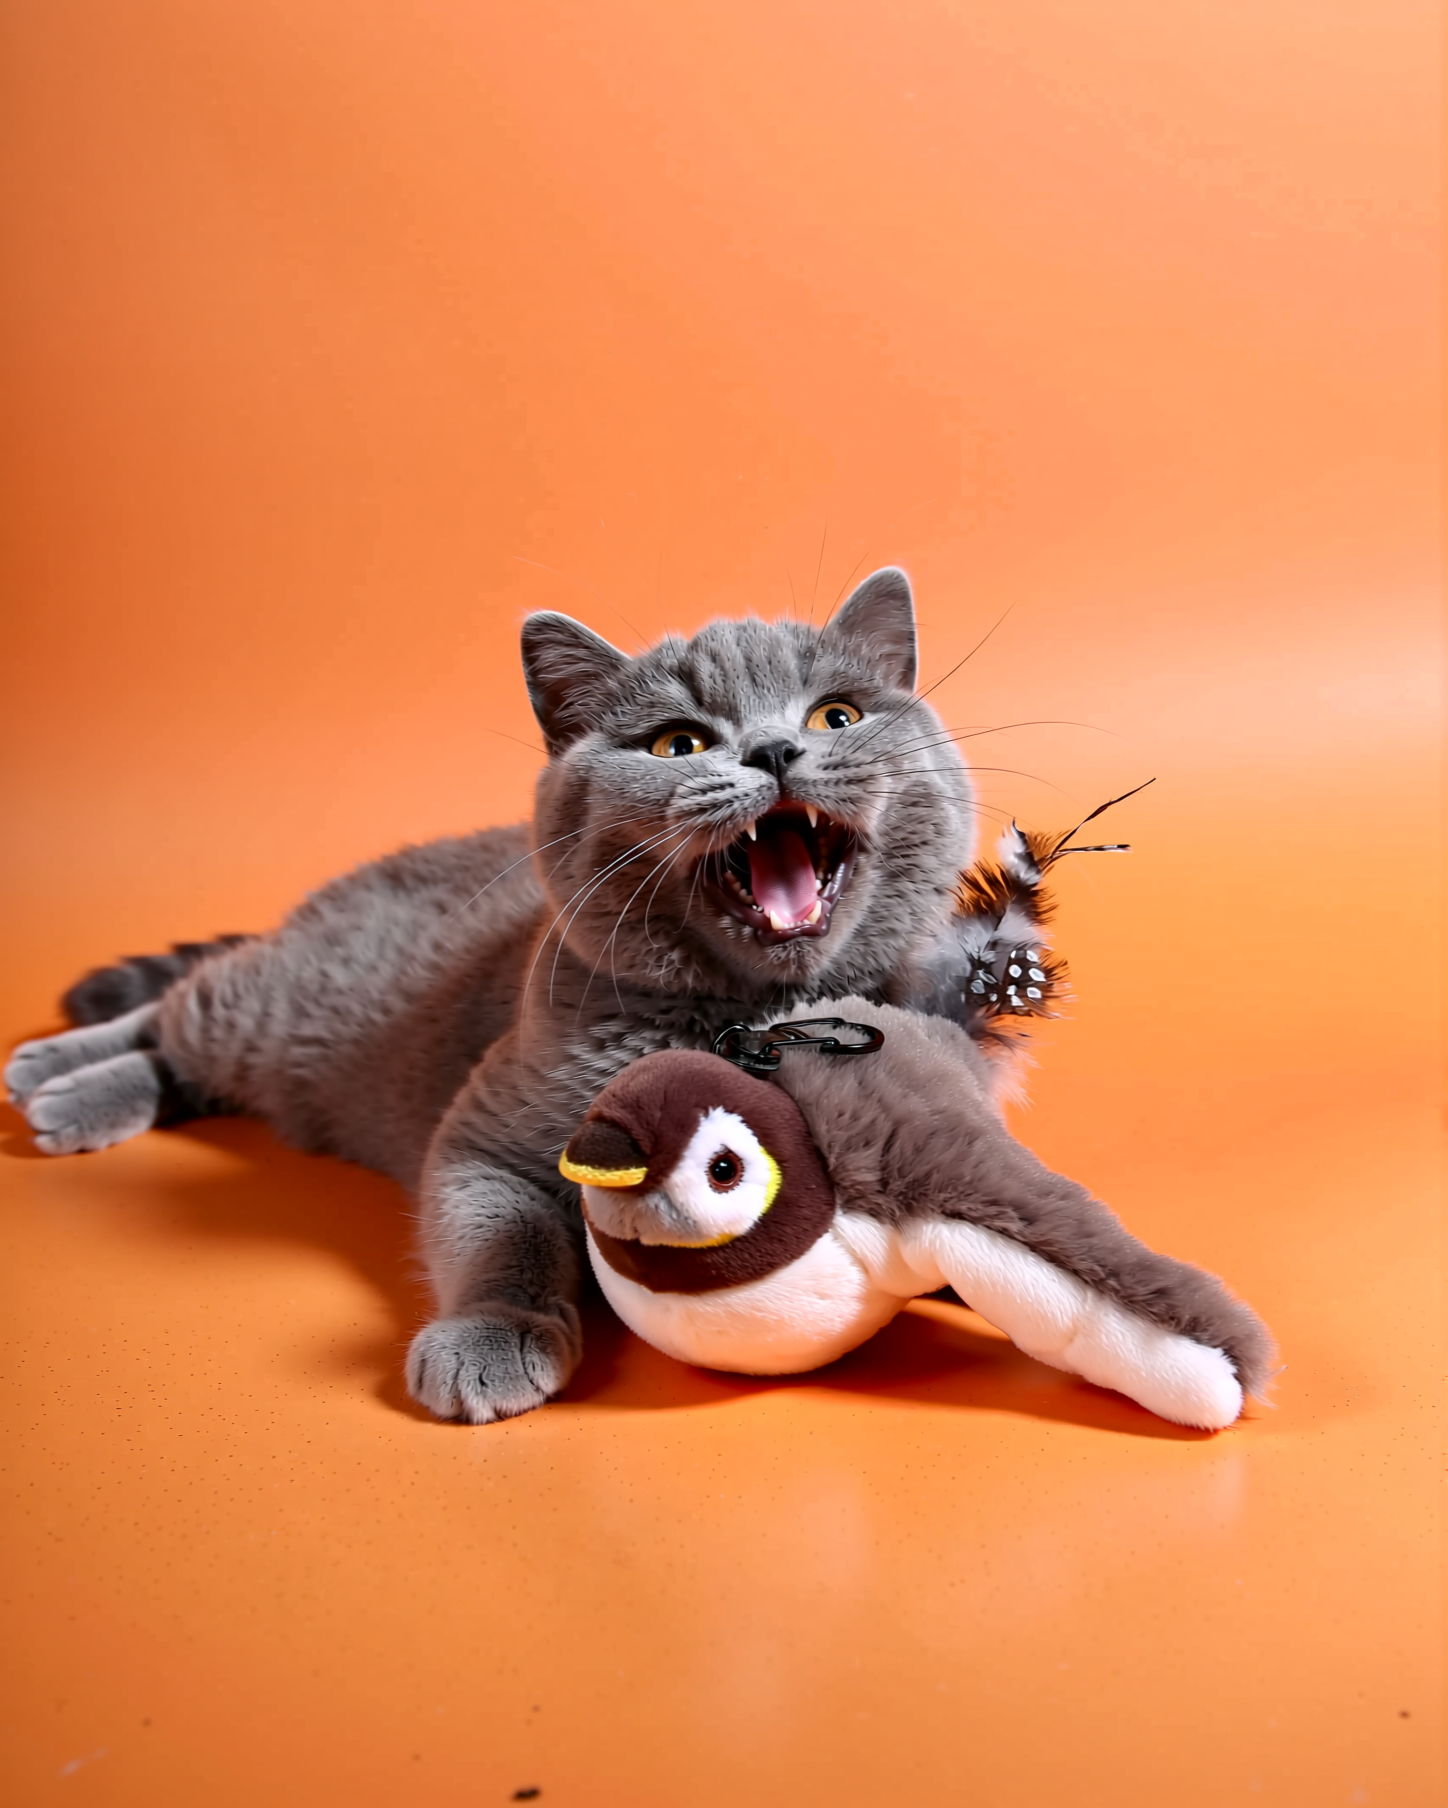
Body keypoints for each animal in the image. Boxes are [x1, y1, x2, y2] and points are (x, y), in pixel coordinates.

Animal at [8, 568, 990, 1424]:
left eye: (837, 714)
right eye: (678, 743)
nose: (775, 749)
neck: (746, 1012)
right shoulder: (488, 1133)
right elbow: (504, 1233)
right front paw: (492, 1338)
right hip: (280, 1005)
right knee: (176, 1011)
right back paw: (55, 1076)